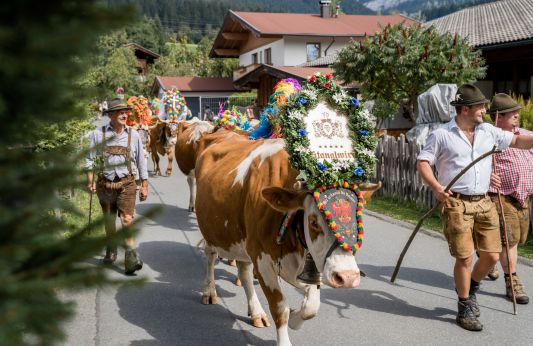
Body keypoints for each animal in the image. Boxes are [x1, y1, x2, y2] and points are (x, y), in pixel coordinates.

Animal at [193, 71, 380, 344]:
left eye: (358, 219)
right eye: (313, 221)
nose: (347, 277)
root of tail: (220, 134)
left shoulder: (309, 263)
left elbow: (312, 306)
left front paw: (296, 318)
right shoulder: (263, 259)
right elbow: (279, 308)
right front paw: (286, 324)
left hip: (242, 239)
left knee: (244, 270)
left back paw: (256, 311)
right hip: (212, 229)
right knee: (210, 255)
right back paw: (209, 292)